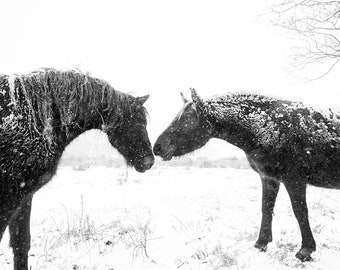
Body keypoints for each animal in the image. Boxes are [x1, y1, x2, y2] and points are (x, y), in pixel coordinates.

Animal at [0, 69, 154, 270]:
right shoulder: (9, 197)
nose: (149, 161)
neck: (35, 122)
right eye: (136, 122)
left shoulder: (24, 196)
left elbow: (21, 243)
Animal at [154, 88, 340, 262]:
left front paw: (305, 251)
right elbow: (266, 207)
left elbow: (300, 211)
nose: (157, 147)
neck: (269, 126)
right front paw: (261, 243)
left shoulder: (294, 180)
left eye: (187, 119)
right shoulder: (269, 178)